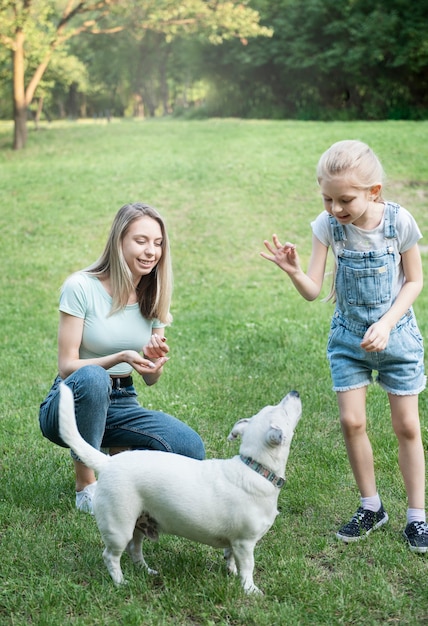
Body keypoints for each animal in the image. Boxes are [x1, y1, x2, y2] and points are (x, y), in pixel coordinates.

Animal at [59, 382, 300, 592]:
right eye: (284, 413)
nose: (295, 392)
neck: (255, 467)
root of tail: (108, 462)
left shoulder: (234, 542)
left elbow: (230, 556)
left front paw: (231, 572)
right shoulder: (245, 542)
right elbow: (248, 567)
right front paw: (250, 589)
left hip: (138, 524)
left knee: (134, 550)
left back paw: (146, 571)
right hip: (119, 527)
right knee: (111, 556)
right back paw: (120, 583)